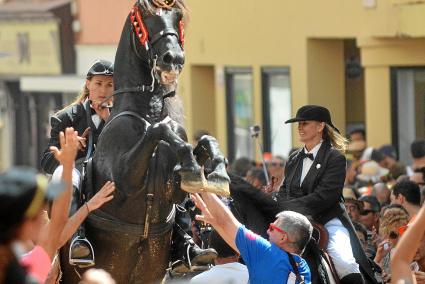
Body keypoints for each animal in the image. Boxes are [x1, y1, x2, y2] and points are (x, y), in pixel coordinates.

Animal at [59, 1, 229, 282]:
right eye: (145, 17)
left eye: (177, 16)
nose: (173, 58)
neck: (147, 113)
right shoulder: (123, 182)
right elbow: (161, 130)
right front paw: (194, 165)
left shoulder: (173, 188)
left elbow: (205, 141)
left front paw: (217, 174)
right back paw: (80, 245)